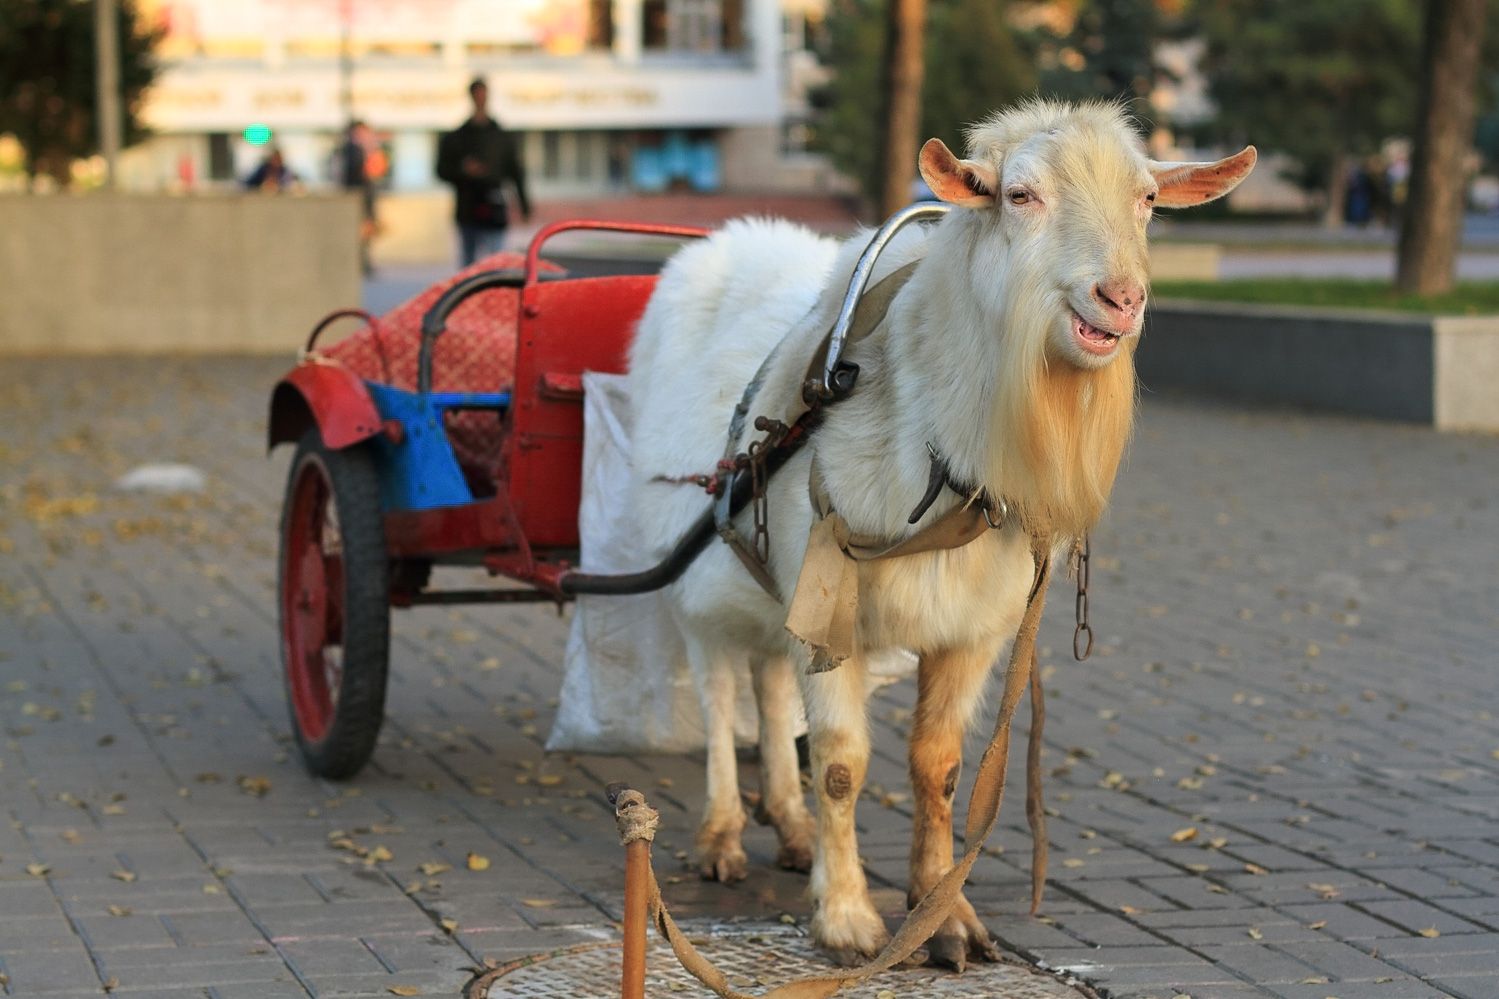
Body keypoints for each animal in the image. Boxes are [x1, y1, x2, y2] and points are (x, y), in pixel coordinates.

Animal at [623, 101, 1253, 966]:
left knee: (771, 683)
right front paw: (846, 919)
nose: (1118, 298)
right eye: (1020, 195)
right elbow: (842, 764)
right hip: (696, 580)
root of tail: (720, 243)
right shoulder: (834, 603)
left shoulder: (971, 627)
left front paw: (942, 916)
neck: (937, 444)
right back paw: (722, 836)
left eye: (1148, 199)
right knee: (720, 696)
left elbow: (940, 765)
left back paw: (788, 827)